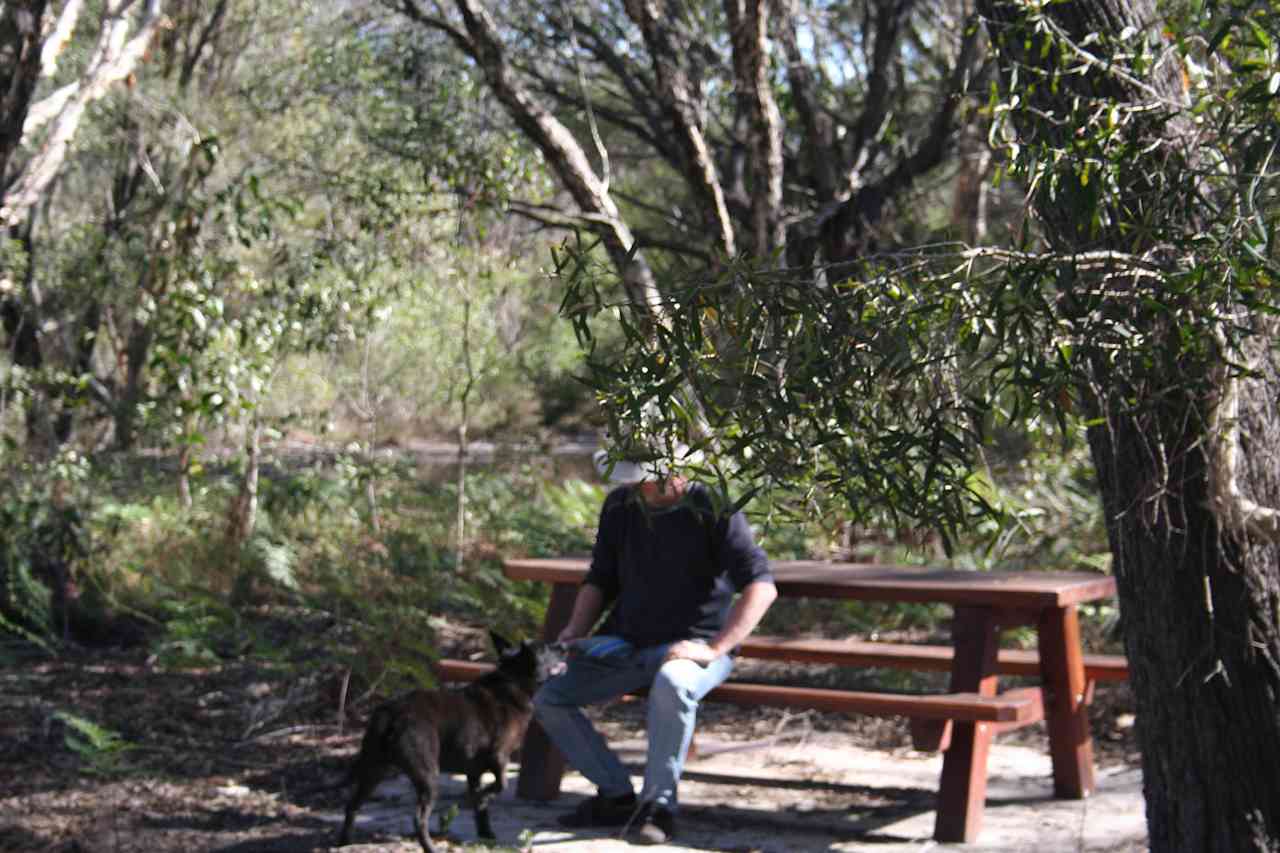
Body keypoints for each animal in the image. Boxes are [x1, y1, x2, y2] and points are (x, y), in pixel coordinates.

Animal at [337, 627, 542, 845]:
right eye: (548, 649)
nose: (558, 646)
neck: (510, 678)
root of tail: (394, 713)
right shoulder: (499, 758)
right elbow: (499, 786)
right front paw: (481, 802)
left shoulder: (474, 771)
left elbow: (482, 807)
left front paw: (486, 834)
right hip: (427, 776)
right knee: (418, 819)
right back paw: (430, 846)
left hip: (375, 770)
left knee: (352, 805)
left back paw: (344, 842)